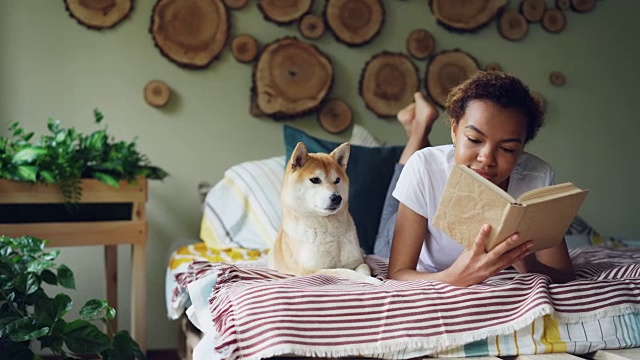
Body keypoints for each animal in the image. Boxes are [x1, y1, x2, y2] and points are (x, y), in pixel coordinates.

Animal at [268, 141, 380, 284]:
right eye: (315, 180)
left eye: (337, 180)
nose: (337, 198)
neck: (331, 231)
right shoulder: (313, 270)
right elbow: (345, 272)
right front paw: (373, 281)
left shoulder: (357, 262)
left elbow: (364, 267)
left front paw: (370, 278)